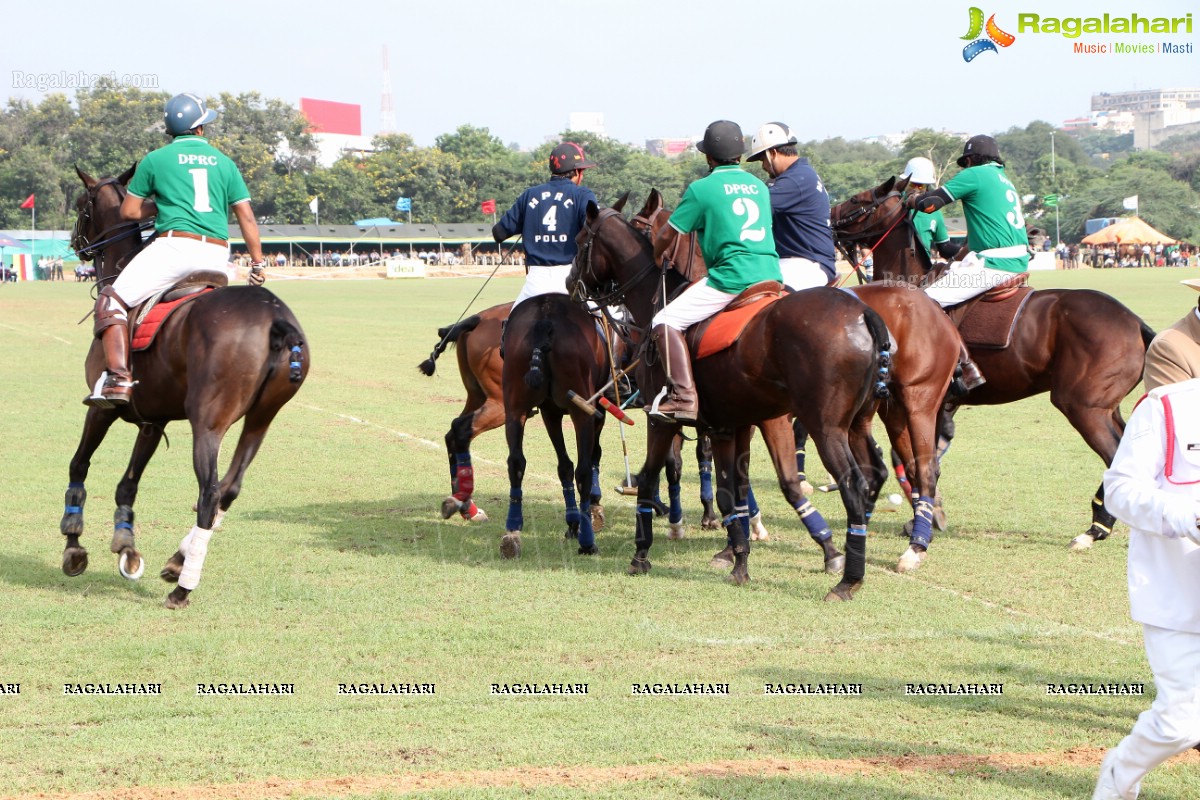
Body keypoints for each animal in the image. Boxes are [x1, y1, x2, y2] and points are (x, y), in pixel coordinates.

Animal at [63, 169, 309, 606]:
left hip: (208, 420)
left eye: (81, 206)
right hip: (263, 417)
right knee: (230, 487)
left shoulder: (101, 407)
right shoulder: (152, 419)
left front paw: (73, 548)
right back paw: (179, 560)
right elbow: (127, 485)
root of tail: (276, 319)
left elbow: (79, 465)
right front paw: (126, 548)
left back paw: (183, 587)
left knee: (209, 492)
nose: (75, 244)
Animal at [566, 203, 897, 597]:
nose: (570, 284)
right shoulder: (729, 425)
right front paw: (739, 561)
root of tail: (864, 313)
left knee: (853, 485)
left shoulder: (661, 419)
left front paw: (640, 555)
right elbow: (732, 492)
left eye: (581, 241)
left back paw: (848, 580)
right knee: (875, 472)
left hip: (826, 427)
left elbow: (648, 479)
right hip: (858, 422)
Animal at [633, 188, 960, 573]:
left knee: (922, 467)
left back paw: (911, 545)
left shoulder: (743, 419)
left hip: (914, 400)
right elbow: (737, 481)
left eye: (860, 202)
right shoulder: (741, 418)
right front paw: (736, 542)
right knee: (899, 467)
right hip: (885, 409)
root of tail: (937, 312)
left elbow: (746, 478)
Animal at [830, 175, 1156, 551]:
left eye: (858, 199)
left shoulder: (909, 401)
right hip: (1106, 405)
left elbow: (913, 460)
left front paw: (925, 517)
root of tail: (1137, 323)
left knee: (1114, 453)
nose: (828, 218)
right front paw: (928, 513)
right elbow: (926, 459)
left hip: (1082, 405)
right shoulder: (940, 405)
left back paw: (1095, 529)